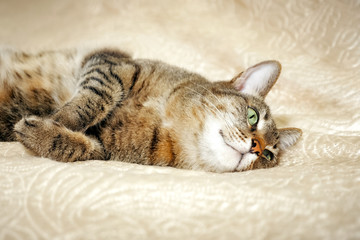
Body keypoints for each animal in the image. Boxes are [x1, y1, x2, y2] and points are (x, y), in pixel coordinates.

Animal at [0, 47, 300, 172]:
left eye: (269, 155)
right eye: (253, 116)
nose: (256, 149)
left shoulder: (104, 151)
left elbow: (75, 148)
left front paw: (39, 131)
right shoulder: (109, 62)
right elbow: (94, 98)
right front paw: (61, 117)